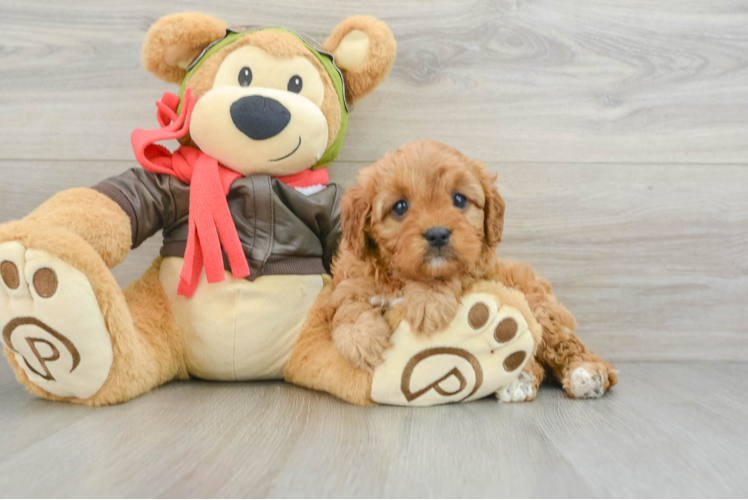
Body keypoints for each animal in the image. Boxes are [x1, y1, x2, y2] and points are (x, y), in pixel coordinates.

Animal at [330, 139, 616, 400]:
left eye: (459, 199)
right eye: (400, 207)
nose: (437, 234)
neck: (406, 277)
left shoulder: (479, 270)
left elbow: (453, 275)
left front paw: (429, 301)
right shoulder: (351, 275)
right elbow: (346, 301)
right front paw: (361, 338)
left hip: (541, 309)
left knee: (565, 345)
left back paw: (585, 374)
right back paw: (518, 380)